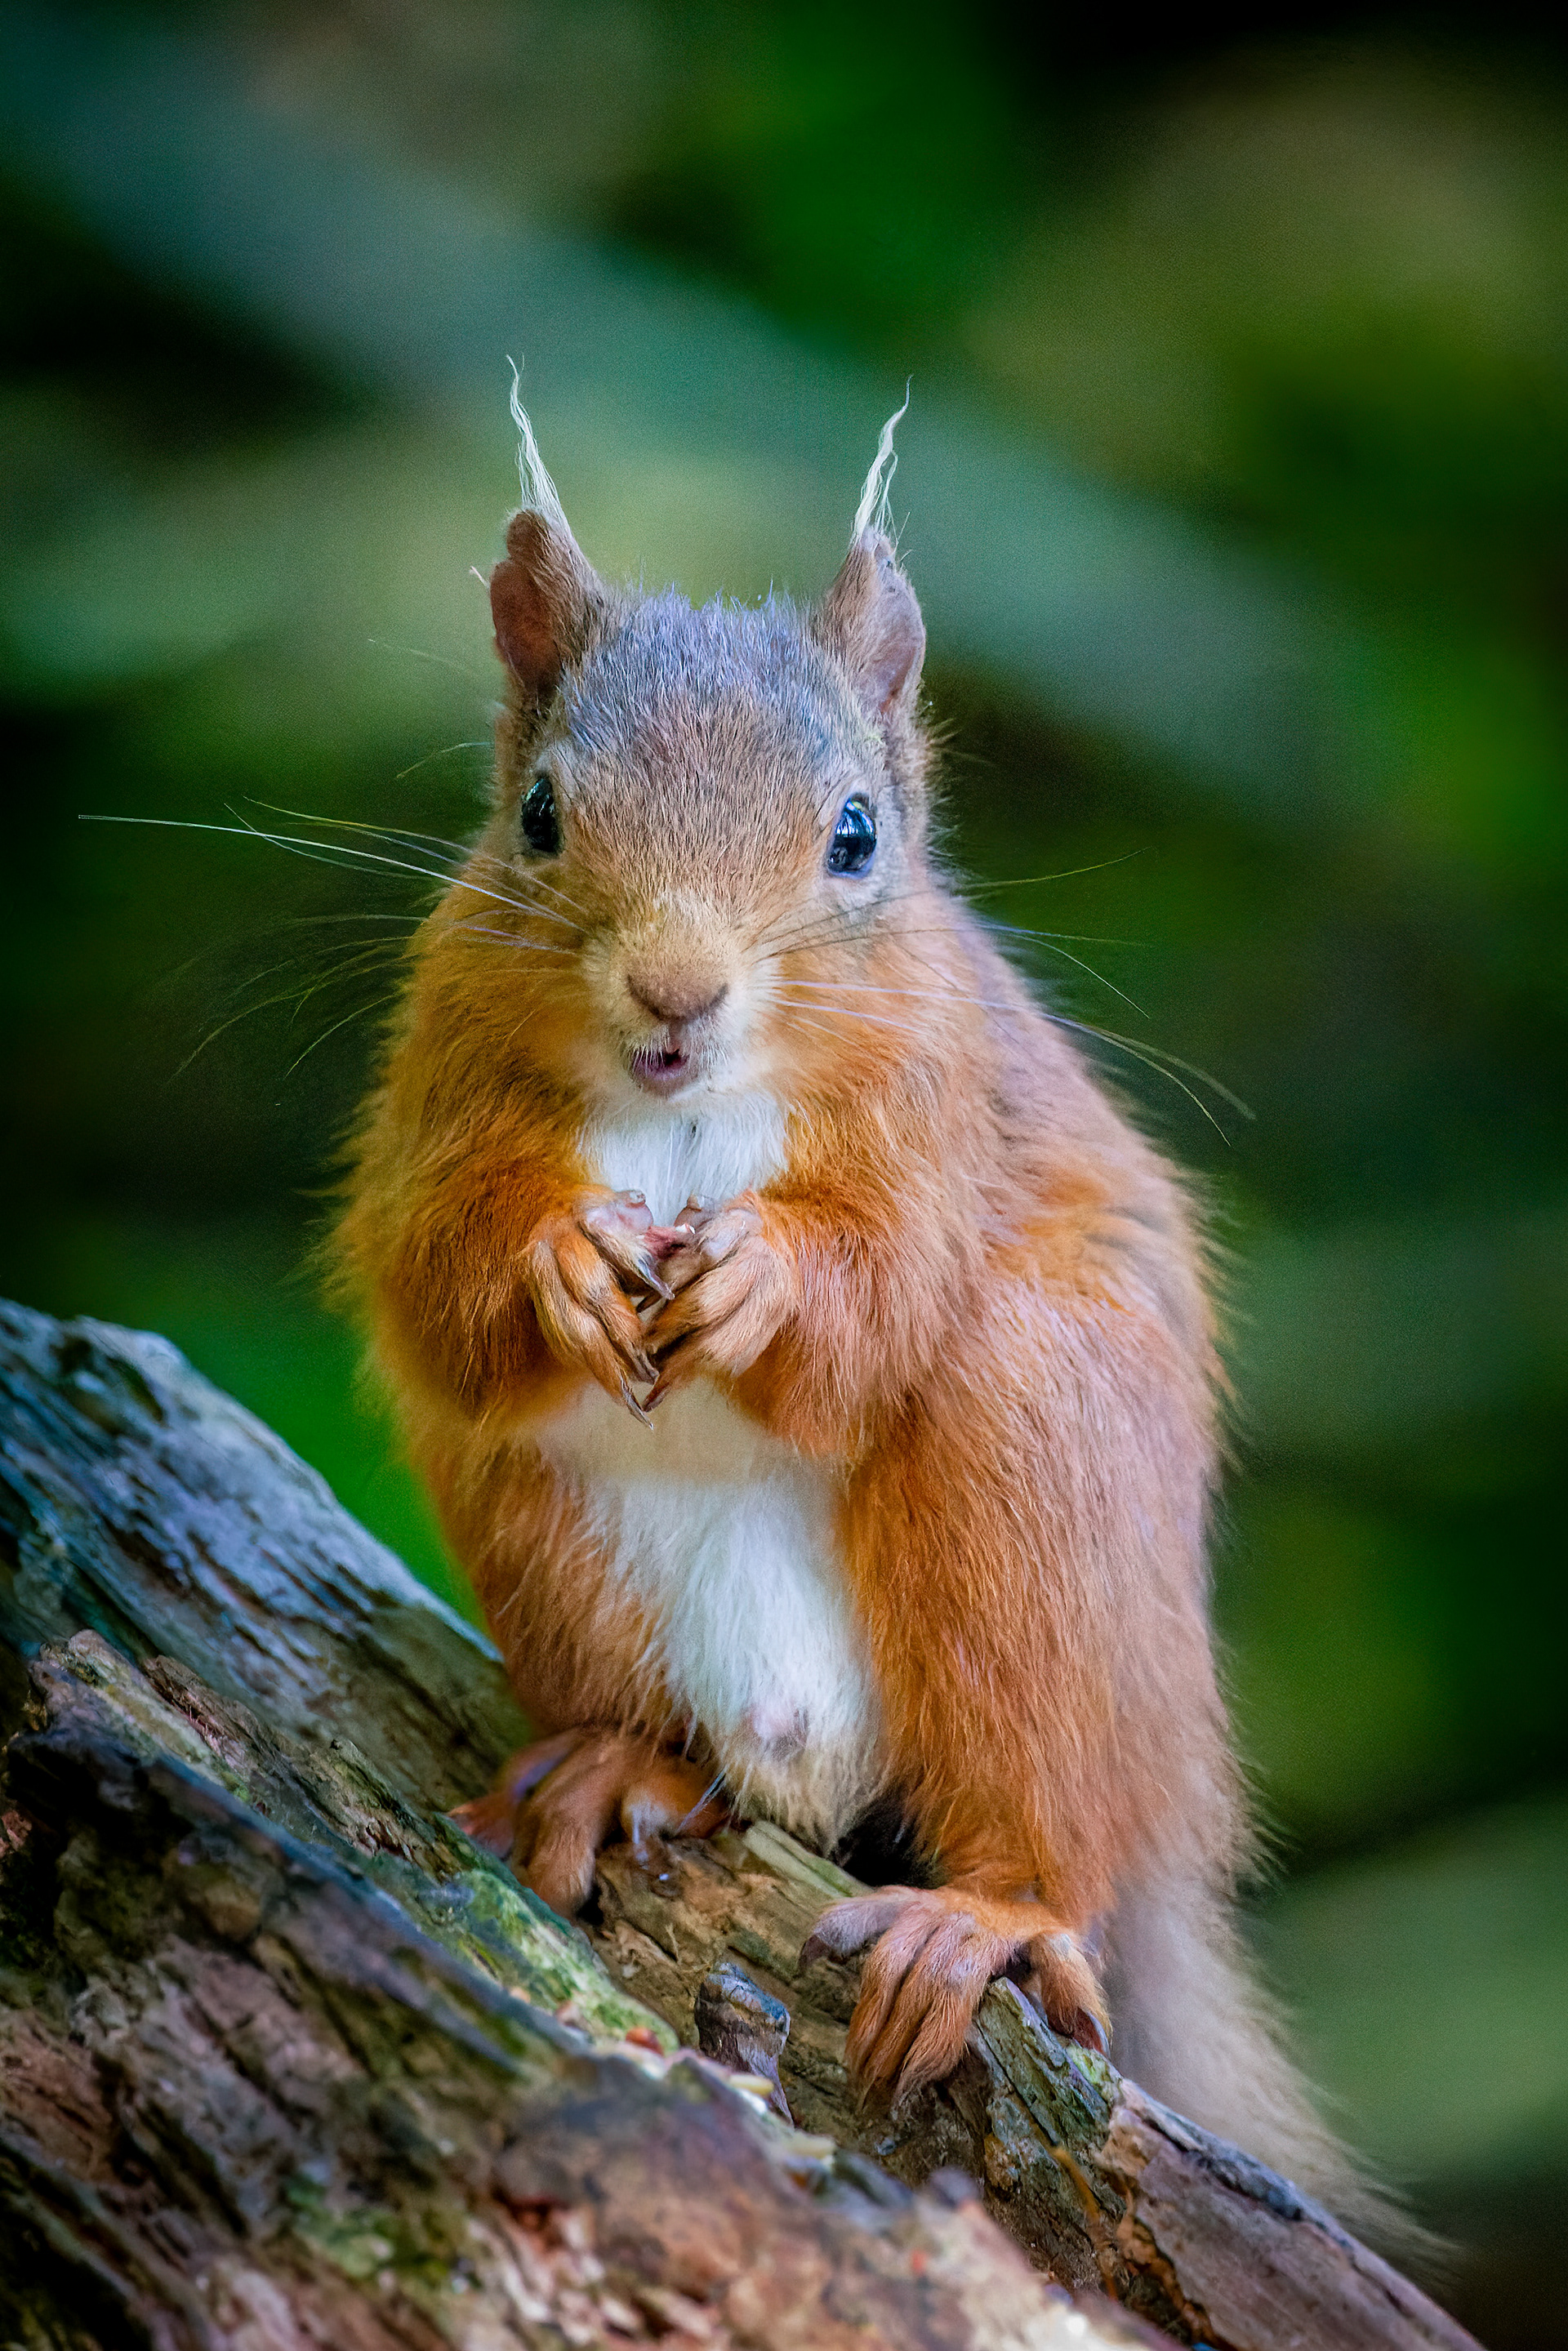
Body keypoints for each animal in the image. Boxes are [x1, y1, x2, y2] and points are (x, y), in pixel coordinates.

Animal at [336, 406, 1368, 2220]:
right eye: (538, 813)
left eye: (858, 833)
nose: (677, 992)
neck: (683, 1113)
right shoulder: (432, 1090)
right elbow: (436, 1270)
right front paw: (555, 1259)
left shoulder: (944, 1112)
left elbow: (883, 1290)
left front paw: (767, 1274)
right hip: (539, 1525)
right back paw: (627, 1768)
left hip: (1035, 1493)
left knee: (1046, 1832)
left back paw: (983, 1920)